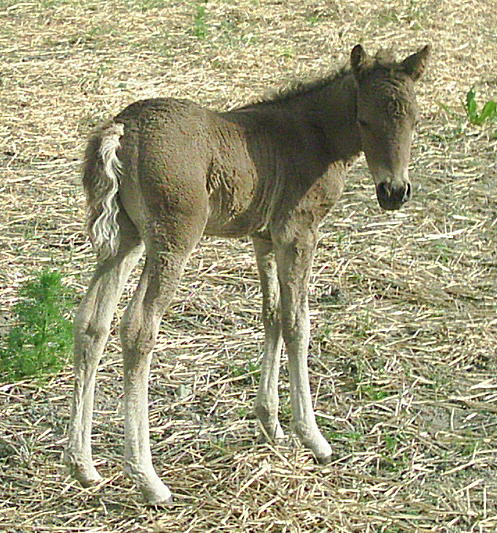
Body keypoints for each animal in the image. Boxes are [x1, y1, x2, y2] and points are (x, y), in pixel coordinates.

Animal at [65, 42, 430, 502]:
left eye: (415, 120)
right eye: (364, 119)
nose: (394, 192)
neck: (313, 133)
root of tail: (122, 128)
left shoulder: (264, 238)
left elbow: (271, 315)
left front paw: (270, 422)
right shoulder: (298, 232)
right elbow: (296, 322)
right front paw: (312, 436)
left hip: (125, 239)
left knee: (91, 323)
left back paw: (84, 467)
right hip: (172, 238)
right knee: (137, 328)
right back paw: (148, 479)